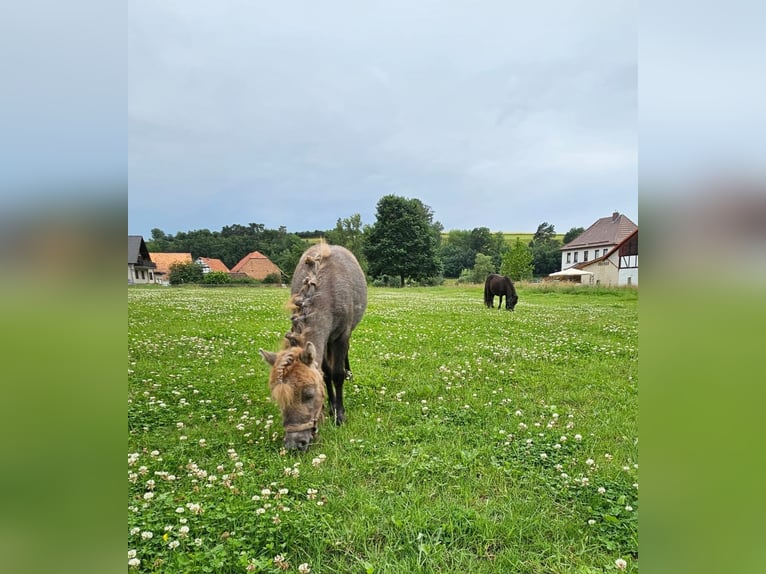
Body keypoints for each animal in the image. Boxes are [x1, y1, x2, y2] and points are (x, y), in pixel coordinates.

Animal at [260, 241, 368, 452]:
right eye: (278, 399)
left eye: (309, 394)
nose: (295, 444)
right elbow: (325, 373)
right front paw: (331, 406)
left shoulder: (341, 335)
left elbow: (337, 374)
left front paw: (339, 415)